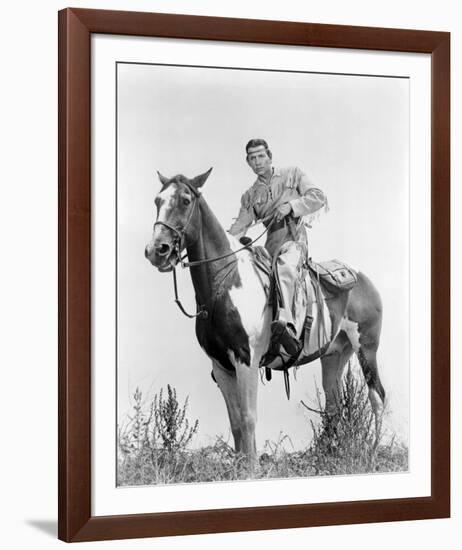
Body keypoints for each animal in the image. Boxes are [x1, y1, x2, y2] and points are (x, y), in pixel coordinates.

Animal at [144, 169, 386, 470]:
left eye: (186, 200)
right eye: (157, 200)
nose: (157, 250)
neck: (226, 283)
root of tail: (362, 278)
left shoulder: (246, 361)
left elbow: (248, 417)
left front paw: (252, 469)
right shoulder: (221, 366)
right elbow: (236, 421)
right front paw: (240, 467)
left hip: (367, 347)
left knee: (377, 397)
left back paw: (373, 453)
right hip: (334, 356)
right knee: (333, 405)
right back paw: (333, 455)